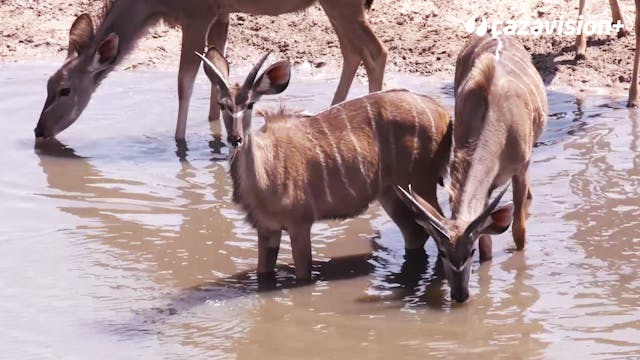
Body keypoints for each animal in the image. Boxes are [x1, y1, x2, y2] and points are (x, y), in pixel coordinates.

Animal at [35, 0, 384, 142]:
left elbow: (185, 80)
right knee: (352, 51)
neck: (152, 5)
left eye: (65, 90)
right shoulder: (221, 13)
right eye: (47, 85)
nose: (40, 130)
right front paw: (217, 130)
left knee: (375, 51)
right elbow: (216, 70)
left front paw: (180, 143)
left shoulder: (198, 15)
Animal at [198, 46, 452, 280]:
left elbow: (303, 276)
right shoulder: (267, 228)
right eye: (222, 105)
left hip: (422, 184)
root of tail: (444, 114)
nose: (236, 139)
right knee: (416, 234)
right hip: (391, 193)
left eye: (250, 104)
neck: (265, 171)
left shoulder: (300, 224)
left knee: (442, 229)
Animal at [398, 34, 548, 304]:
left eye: (469, 253)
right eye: (443, 253)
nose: (460, 295)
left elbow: (519, 231)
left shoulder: (521, 169)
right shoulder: (485, 186)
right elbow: (487, 244)